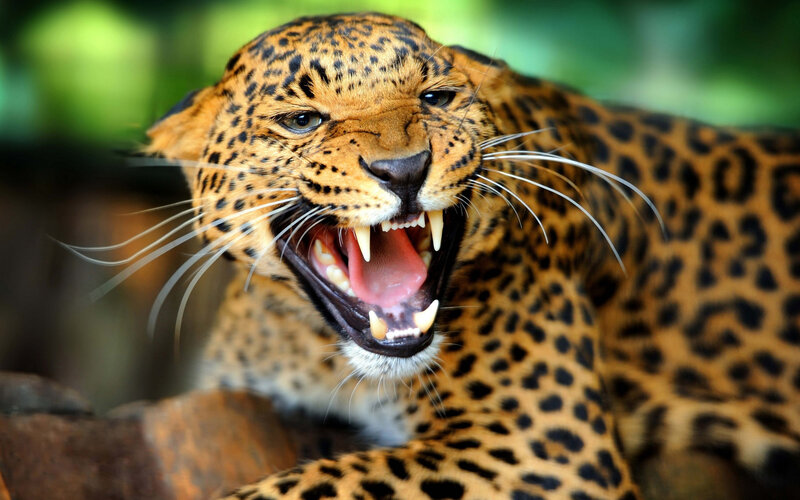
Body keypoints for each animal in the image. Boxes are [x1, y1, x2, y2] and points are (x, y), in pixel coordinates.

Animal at [142, 12, 800, 500]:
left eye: (436, 98)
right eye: (302, 120)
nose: (404, 169)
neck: (315, 350)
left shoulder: (544, 446)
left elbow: (315, 482)